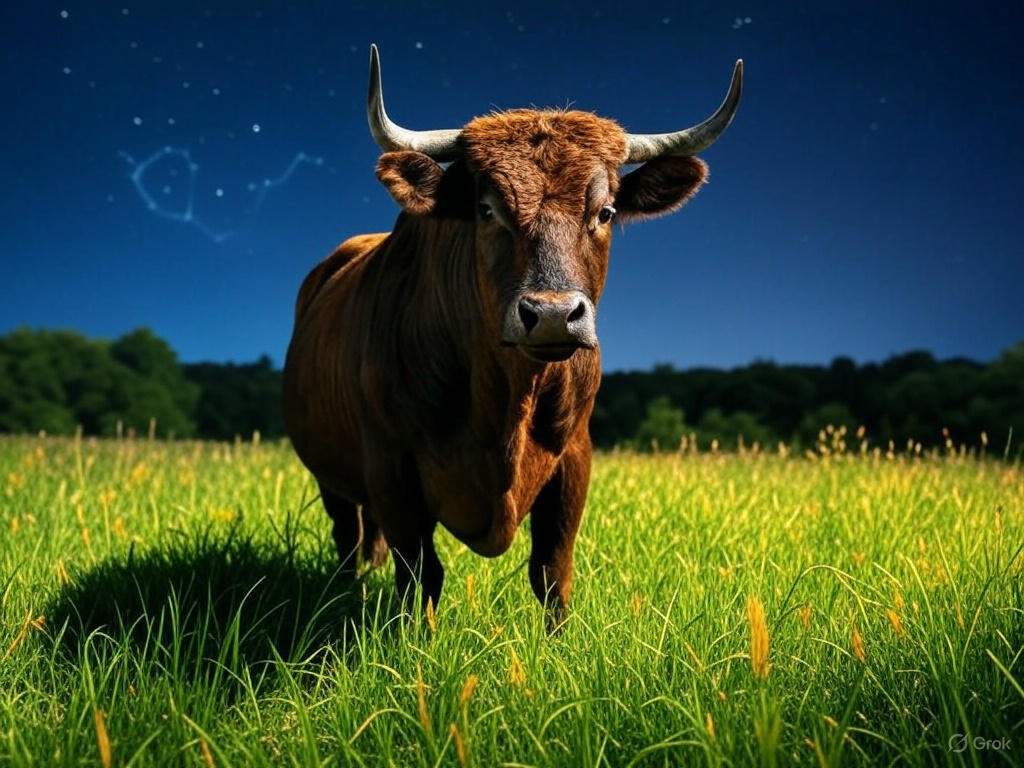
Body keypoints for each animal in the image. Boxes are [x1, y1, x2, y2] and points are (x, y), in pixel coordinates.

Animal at [283, 45, 742, 626]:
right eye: (486, 210)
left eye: (605, 211)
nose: (551, 314)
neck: (506, 400)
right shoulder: (392, 468)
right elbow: (421, 575)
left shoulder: (574, 460)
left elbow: (551, 571)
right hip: (333, 477)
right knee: (350, 540)